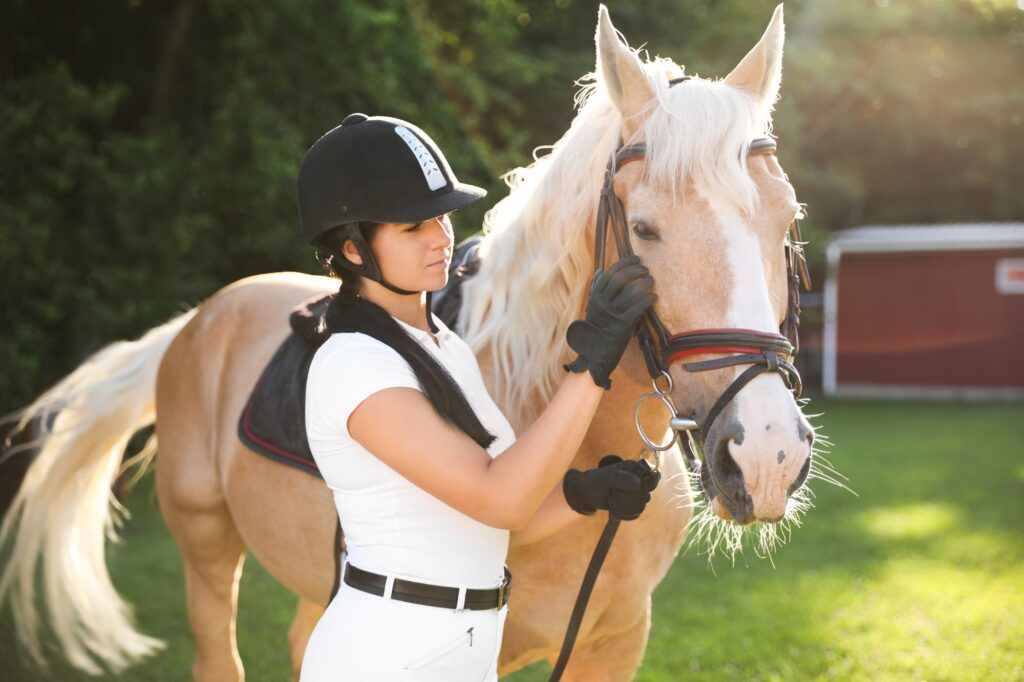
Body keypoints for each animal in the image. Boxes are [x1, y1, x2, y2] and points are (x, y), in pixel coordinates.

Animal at [0, 6, 815, 679]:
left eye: (788, 221)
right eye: (644, 229)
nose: (767, 456)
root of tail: (201, 316)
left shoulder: (615, 643)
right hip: (205, 550)